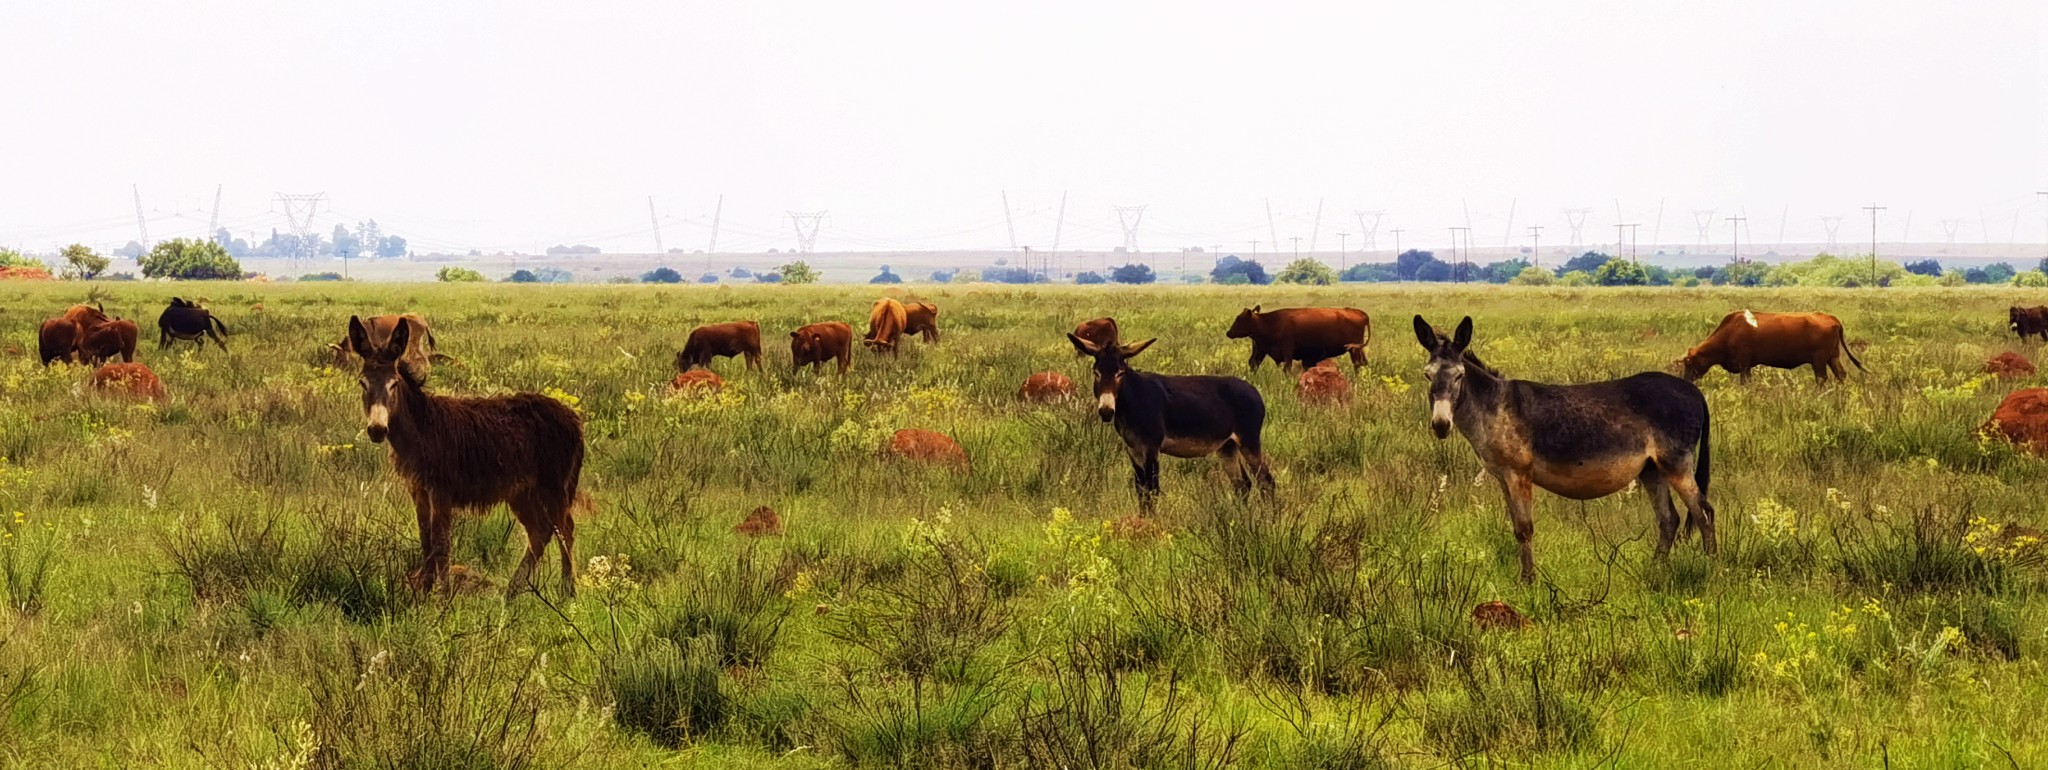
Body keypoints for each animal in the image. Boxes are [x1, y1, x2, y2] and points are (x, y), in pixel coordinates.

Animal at [348, 315, 589, 597]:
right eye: (362, 383)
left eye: (393, 384)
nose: (377, 430)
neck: (422, 429)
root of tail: (575, 420)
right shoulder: (418, 488)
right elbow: (426, 540)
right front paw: (424, 591)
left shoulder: (442, 488)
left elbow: (441, 543)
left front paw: (442, 596)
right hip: (523, 491)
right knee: (540, 531)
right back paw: (512, 592)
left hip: (555, 485)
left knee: (565, 530)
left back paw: (567, 591)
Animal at [1064, 333, 1269, 514]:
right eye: (1096, 373)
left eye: (1120, 373)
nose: (1106, 411)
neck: (1132, 400)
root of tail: (1255, 391)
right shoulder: (1133, 449)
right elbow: (1140, 490)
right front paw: (1142, 521)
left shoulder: (1151, 446)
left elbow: (1152, 489)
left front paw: (1152, 525)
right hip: (1227, 446)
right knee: (1243, 484)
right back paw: (1242, 517)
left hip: (1248, 440)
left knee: (1266, 481)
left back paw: (1269, 520)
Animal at [1220, 305, 1368, 370]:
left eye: (1239, 319)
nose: (1229, 333)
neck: (1270, 322)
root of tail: (1358, 312)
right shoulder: (1261, 350)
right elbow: (1254, 364)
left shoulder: (1287, 351)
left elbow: (1287, 368)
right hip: (1358, 349)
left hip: (1354, 349)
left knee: (1357, 364)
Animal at [1409, 315, 1712, 581]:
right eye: (1427, 376)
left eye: (1459, 376)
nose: (1440, 425)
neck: (1493, 406)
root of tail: (1695, 391)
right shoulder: (1503, 477)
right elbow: (1516, 527)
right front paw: (1524, 579)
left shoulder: (1519, 473)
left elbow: (1525, 528)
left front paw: (1528, 582)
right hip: (1652, 468)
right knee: (1669, 519)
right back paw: (1655, 571)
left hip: (1677, 463)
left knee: (1704, 513)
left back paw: (1713, 570)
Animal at [1671, 309, 1867, 385]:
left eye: (1688, 363)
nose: (1686, 381)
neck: (1730, 331)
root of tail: (1830, 317)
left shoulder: (1744, 364)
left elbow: (1745, 382)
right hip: (1833, 357)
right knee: (1841, 375)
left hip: (1819, 361)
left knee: (1822, 379)